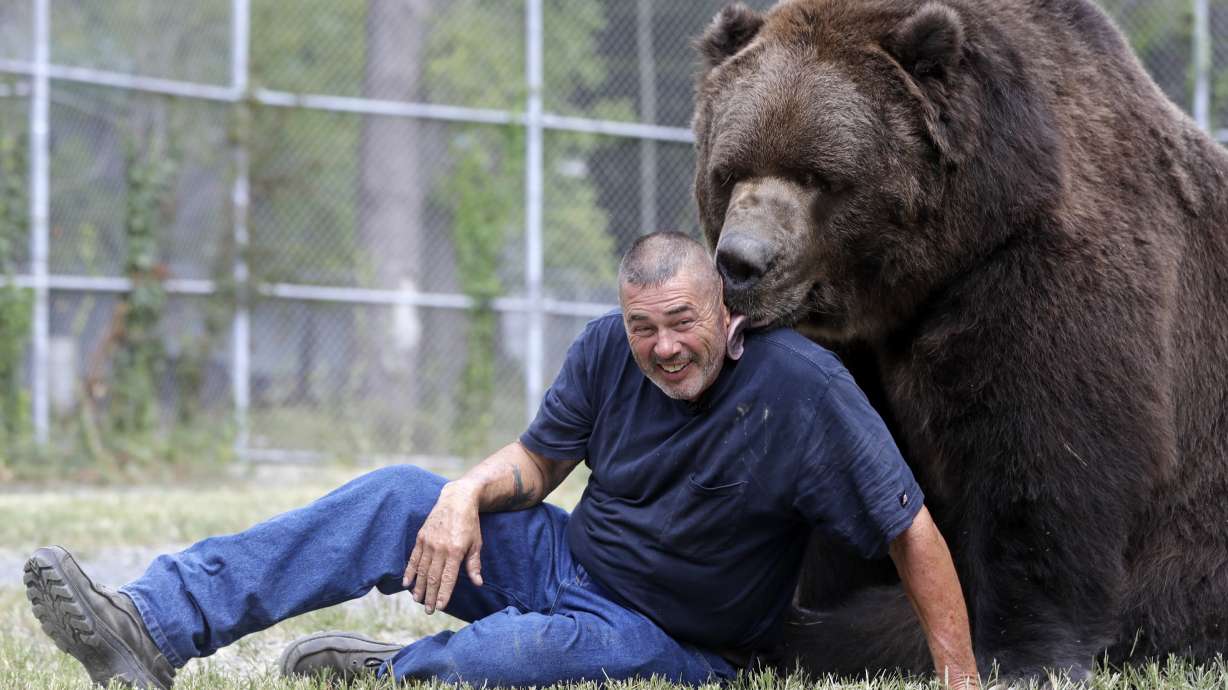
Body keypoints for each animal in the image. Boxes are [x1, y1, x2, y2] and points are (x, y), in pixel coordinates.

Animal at [691, 0, 1228, 682]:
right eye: (729, 170)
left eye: (819, 175)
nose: (740, 263)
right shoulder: (848, 350)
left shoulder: (1040, 272)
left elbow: (1044, 457)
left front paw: (1022, 653)